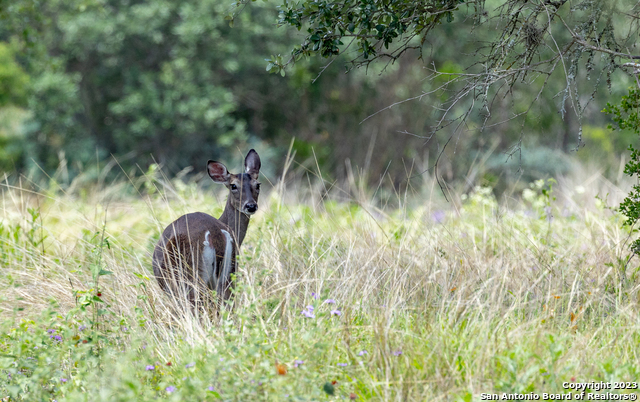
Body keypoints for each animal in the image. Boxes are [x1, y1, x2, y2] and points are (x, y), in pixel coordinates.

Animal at [152, 149, 260, 306]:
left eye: (257, 184)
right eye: (233, 186)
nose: (251, 206)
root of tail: (215, 234)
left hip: (193, 276)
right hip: (228, 274)